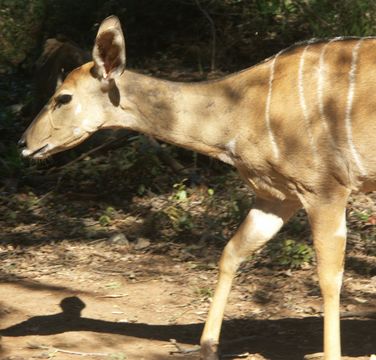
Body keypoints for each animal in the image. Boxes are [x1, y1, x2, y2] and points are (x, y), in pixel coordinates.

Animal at [20, 16, 376, 360]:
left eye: (63, 97)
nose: (24, 143)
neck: (242, 111)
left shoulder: (326, 190)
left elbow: (329, 278)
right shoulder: (276, 197)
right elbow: (231, 252)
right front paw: (207, 346)